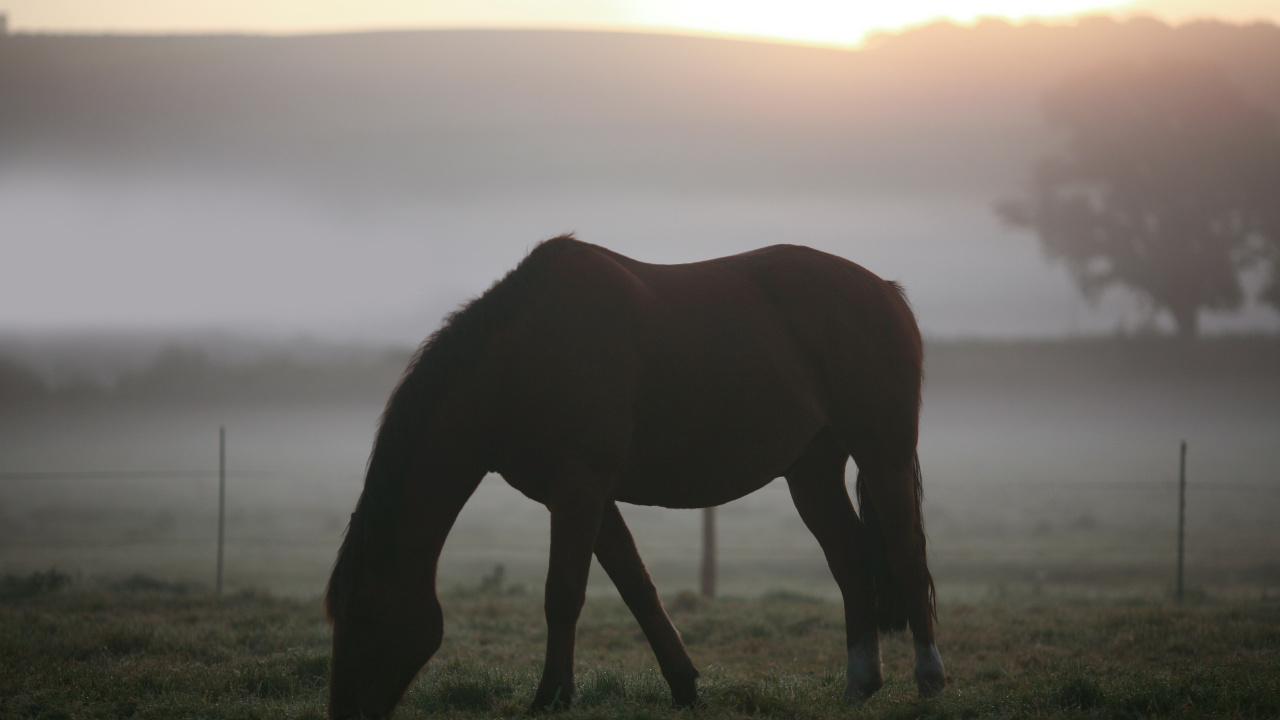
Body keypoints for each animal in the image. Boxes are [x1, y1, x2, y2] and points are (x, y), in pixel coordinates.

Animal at [324, 235, 945, 718]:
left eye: (360, 615)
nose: (344, 712)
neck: (523, 357)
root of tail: (885, 291)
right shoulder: (584, 496)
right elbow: (637, 588)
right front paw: (685, 687)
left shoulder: (580, 487)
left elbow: (563, 594)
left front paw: (550, 699)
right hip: (811, 472)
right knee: (849, 559)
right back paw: (859, 685)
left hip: (883, 457)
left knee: (908, 556)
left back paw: (931, 682)